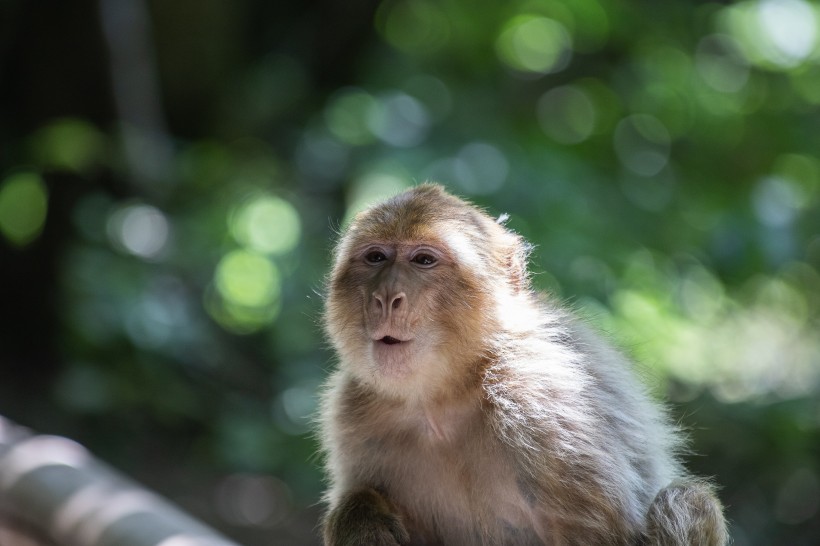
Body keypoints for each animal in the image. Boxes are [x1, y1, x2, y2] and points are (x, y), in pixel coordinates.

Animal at [318, 184, 728, 544]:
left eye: (423, 260)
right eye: (376, 257)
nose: (386, 297)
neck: (445, 395)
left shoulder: (538, 396)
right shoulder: (351, 410)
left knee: (686, 501)